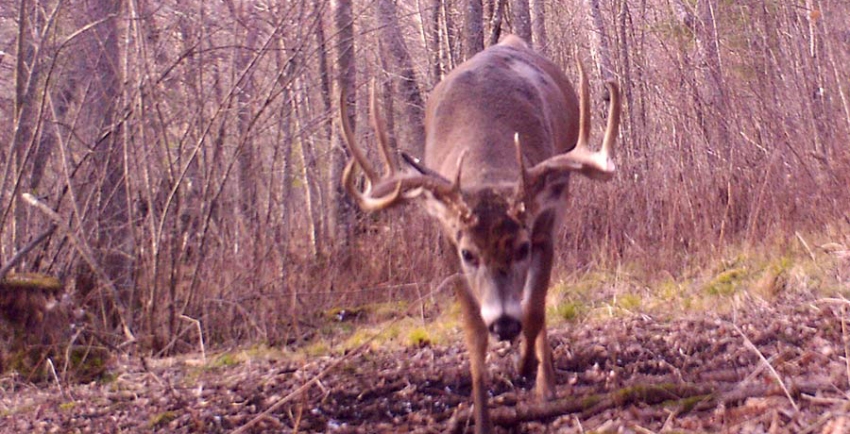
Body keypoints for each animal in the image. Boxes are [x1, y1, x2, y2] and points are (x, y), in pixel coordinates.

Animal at [338, 35, 624, 432]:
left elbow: (535, 309)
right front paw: (482, 418)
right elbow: (474, 335)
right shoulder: (448, 243)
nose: (503, 323)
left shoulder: (545, 226)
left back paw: (544, 382)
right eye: (469, 254)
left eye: (521, 248)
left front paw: (526, 365)